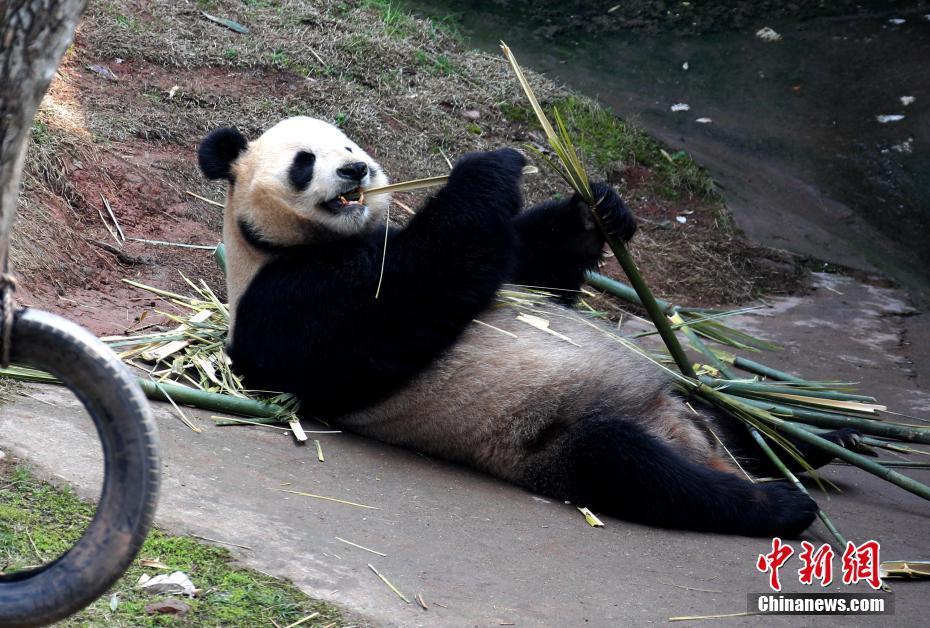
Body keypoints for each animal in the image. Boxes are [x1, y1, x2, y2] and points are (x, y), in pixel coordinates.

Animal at [198, 115, 864, 536]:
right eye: (305, 161)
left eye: (347, 144)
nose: (356, 171)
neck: (278, 241)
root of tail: (693, 440)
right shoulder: (285, 301)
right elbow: (403, 294)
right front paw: (488, 166)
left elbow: (528, 269)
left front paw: (597, 209)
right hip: (553, 439)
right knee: (631, 466)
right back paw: (778, 503)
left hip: (686, 399)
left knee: (734, 417)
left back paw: (821, 438)